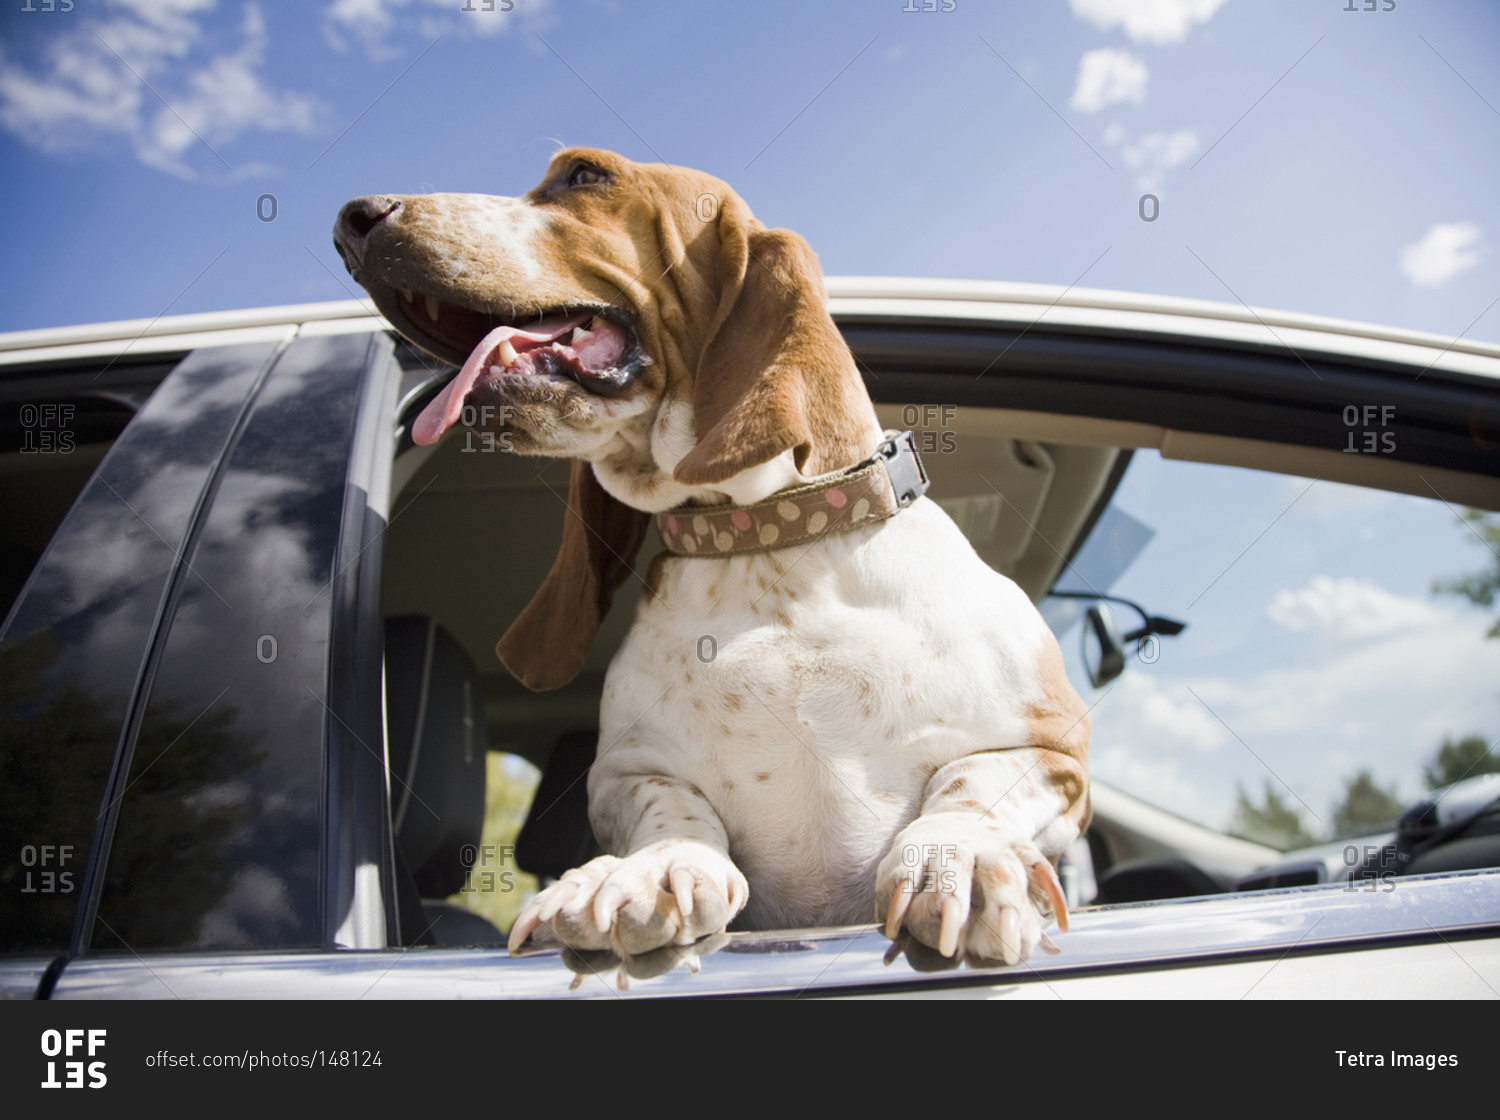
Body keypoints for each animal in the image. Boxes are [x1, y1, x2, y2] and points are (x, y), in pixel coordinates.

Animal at [334, 149, 1092, 965]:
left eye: (583, 176)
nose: (352, 219)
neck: (769, 540)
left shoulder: (1056, 755)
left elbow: (970, 784)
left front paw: (960, 860)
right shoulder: (625, 775)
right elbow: (673, 809)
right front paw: (647, 872)